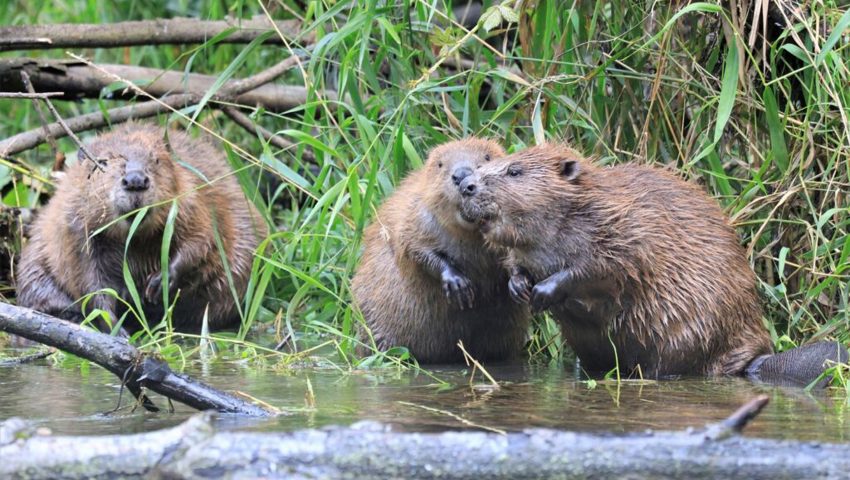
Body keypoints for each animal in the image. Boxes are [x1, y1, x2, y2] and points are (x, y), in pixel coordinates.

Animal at [17, 123, 268, 334]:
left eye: (156, 159)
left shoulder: (192, 199)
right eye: (103, 163)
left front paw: (158, 282)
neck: (133, 236)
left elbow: (201, 239)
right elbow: (87, 278)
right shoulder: (74, 228)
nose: (136, 181)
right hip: (32, 261)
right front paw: (115, 327)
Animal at [350, 139, 524, 364]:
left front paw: (518, 284)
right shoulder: (417, 215)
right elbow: (414, 248)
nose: (462, 175)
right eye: (440, 164)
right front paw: (459, 285)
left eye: (487, 157)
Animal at [460, 142, 844, 382]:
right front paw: (518, 286)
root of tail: (755, 361)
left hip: (684, 333)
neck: (583, 204)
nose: (466, 186)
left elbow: (606, 267)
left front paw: (543, 291)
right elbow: (513, 261)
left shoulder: (629, 229)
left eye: (514, 171)